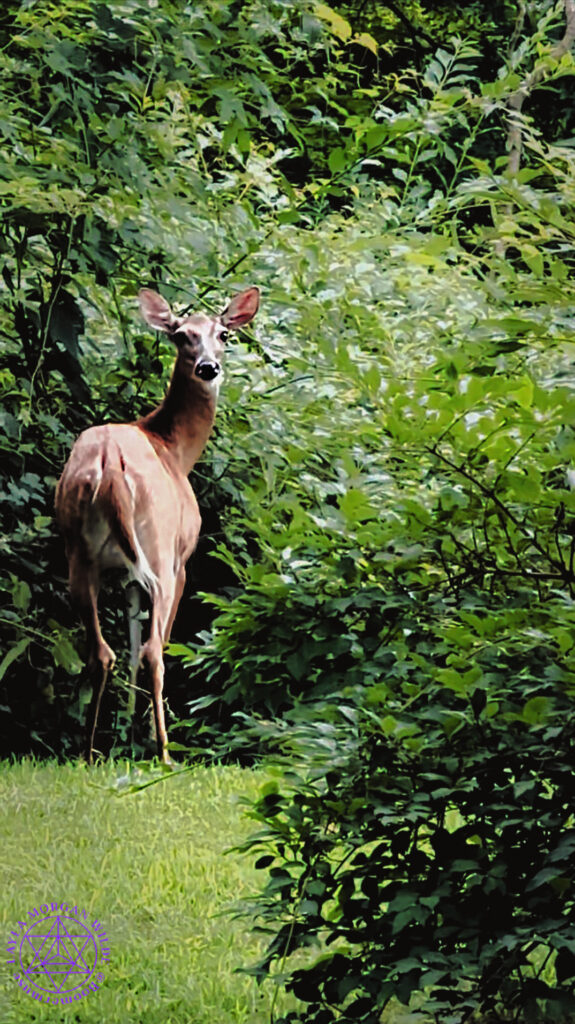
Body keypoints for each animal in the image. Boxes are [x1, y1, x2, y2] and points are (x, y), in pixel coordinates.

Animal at [55, 284, 260, 764]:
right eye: (182, 336)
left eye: (223, 334)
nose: (208, 366)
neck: (175, 449)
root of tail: (109, 464)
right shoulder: (182, 557)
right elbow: (155, 644)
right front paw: (144, 732)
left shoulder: (127, 576)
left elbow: (130, 644)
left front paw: (129, 726)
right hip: (160, 550)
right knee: (153, 650)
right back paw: (165, 751)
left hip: (79, 553)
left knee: (102, 651)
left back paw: (90, 751)